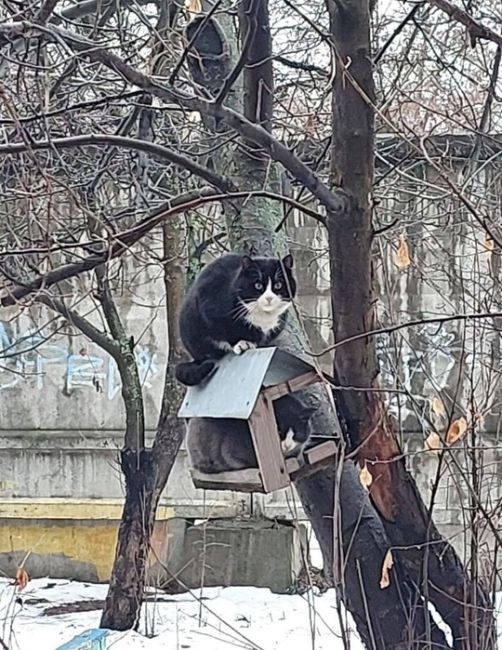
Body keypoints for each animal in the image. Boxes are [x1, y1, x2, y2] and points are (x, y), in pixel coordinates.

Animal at [176, 252, 296, 384]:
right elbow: (227, 330)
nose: (269, 298)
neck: (262, 316)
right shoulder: (208, 303)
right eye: (258, 285)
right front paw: (243, 343)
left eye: (278, 285)